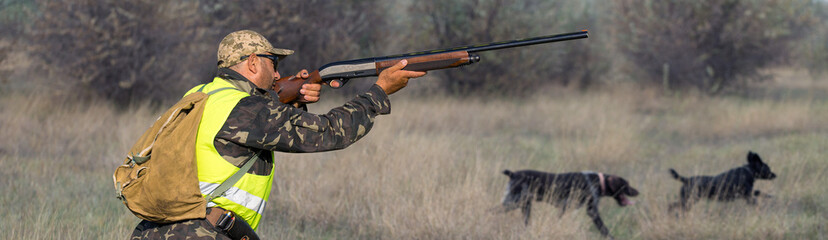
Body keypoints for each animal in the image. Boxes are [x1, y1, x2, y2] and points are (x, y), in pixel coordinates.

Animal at [498, 169, 640, 238]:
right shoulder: (591, 211)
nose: (638, 191)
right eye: (626, 185)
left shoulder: (566, 208)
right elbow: (604, 229)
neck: (598, 181)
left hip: (524, 206)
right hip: (513, 203)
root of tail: (513, 174)